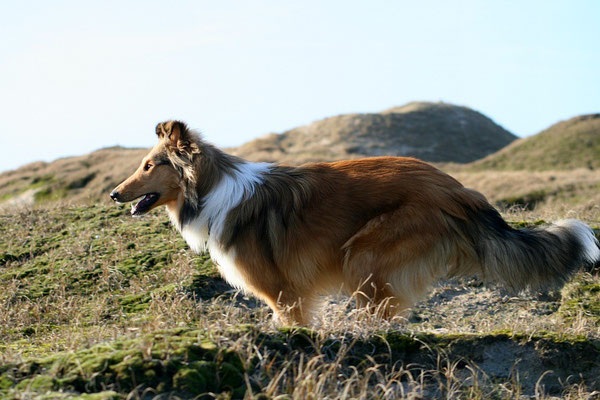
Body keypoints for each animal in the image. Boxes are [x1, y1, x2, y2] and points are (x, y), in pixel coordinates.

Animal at [109, 121, 600, 324]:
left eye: (150, 165)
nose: (114, 194)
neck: (209, 190)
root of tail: (459, 189)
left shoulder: (285, 294)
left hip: (364, 253)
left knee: (380, 311)